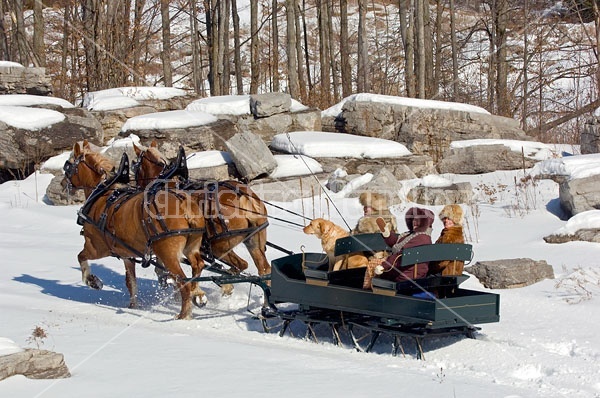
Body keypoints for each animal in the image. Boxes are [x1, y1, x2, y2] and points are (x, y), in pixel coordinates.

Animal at [63, 141, 207, 320]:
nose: (63, 184)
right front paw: (133, 305)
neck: (103, 193)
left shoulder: (96, 247)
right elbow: (131, 281)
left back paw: (183, 314)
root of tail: (183, 202)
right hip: (192, 246)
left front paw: (92, 281)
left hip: (167, 252)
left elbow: (81, 257)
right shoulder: (127, 254)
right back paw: (198, 294)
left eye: (68, 166)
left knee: (182, 280)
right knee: (197, 266)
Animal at [134, 141, 272, 278]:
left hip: (219, 246)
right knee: (264, 268)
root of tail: (243, 196)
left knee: (241, 264)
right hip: (254, 240)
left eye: (136, 166)